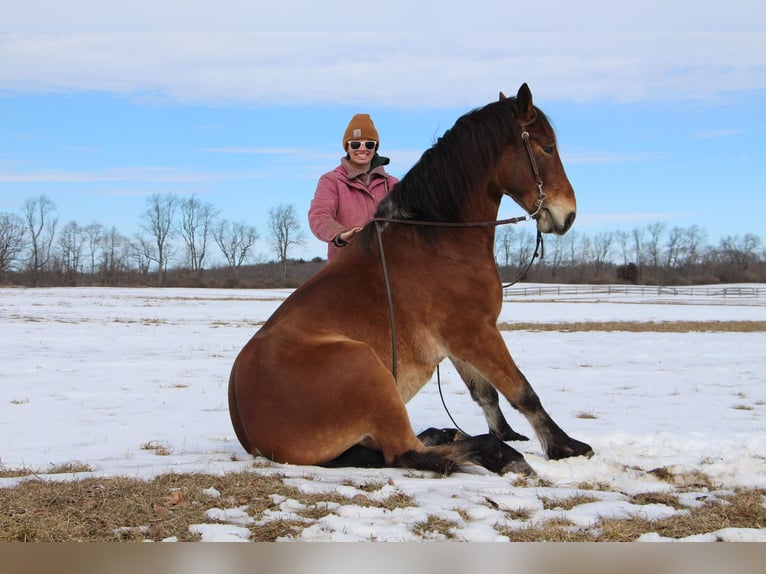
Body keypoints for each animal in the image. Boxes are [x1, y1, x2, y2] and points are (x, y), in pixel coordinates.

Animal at [231, 81, 596, 476]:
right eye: (547, 147)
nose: (567, 214)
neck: (437, 240)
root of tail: (248, 430)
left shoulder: (459, 343)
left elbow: (486, 392)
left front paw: (510, 435)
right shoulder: (475, 332)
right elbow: (522, 391)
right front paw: (563, 446)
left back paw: (451, 434)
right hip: (370, 372)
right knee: (405, 452)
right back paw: (496, 454)